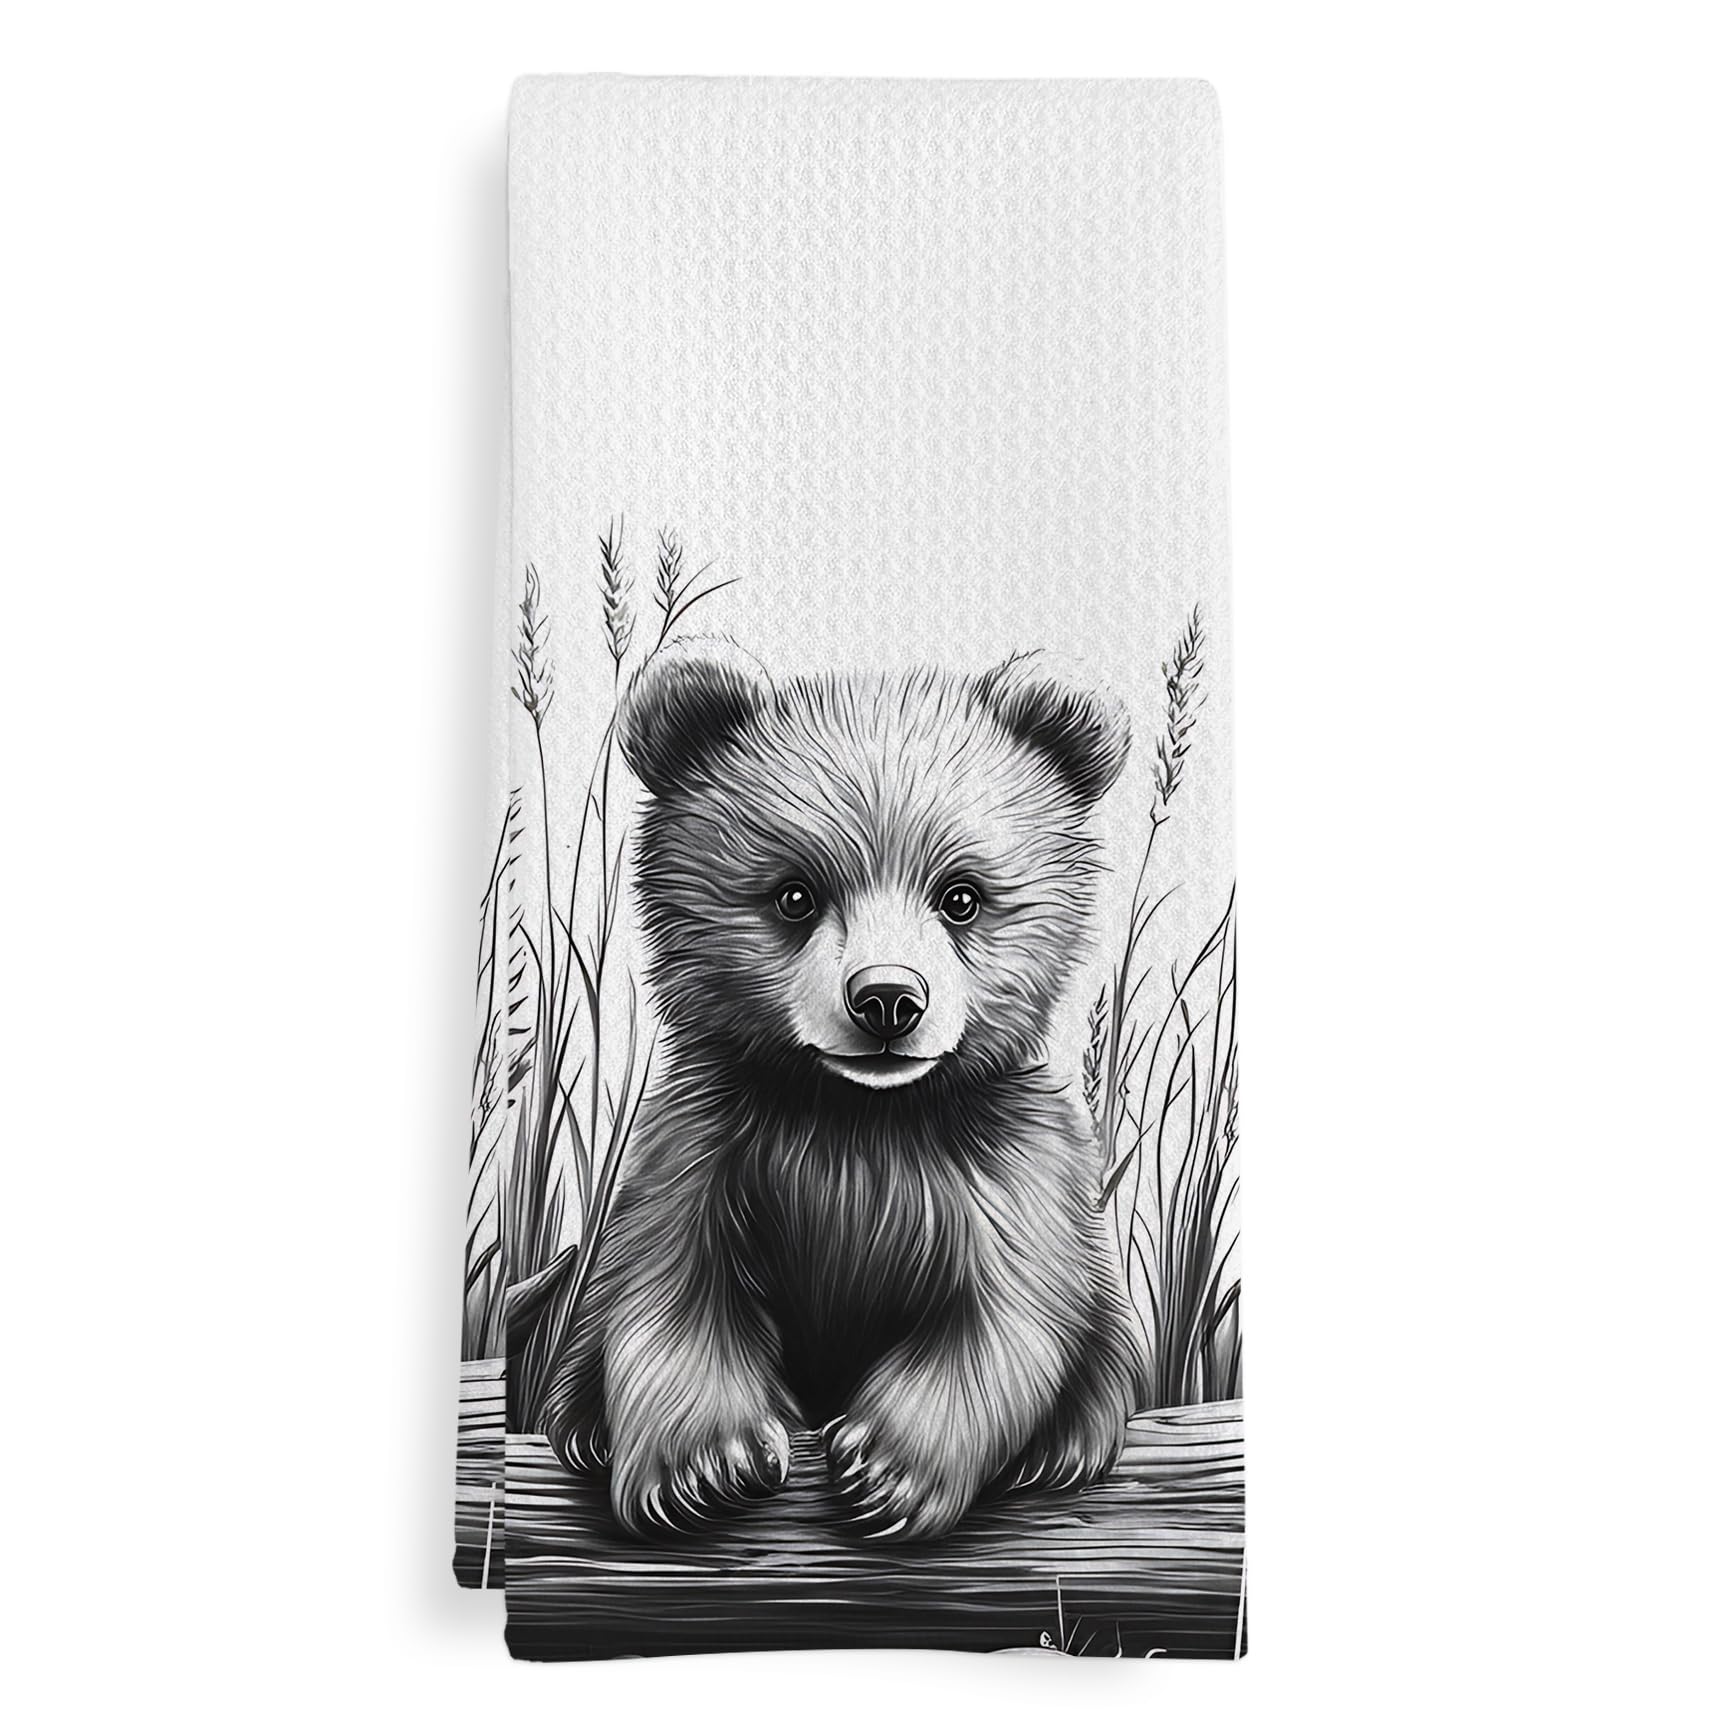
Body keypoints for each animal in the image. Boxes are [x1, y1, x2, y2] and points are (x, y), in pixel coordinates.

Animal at [537, 639, 1147, 1542]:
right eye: (795, 892)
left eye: (961, 895)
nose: (887, 998)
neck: (858, 1115)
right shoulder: (704, 1155)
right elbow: (670, 1291)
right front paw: (705, 1461)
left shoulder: (1003, 1172)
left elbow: (1006, 1312)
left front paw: (887, 1465)